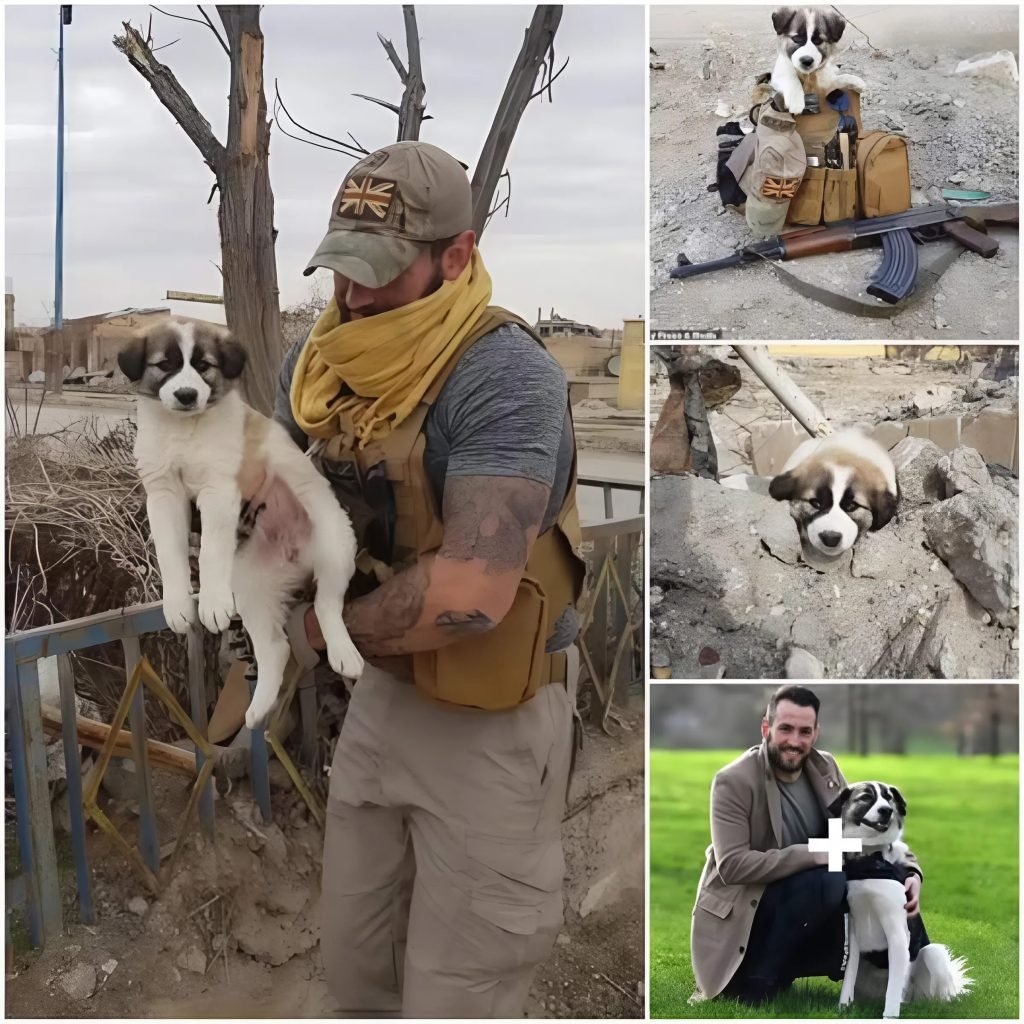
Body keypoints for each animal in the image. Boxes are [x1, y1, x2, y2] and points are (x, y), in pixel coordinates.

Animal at [118, 319, 366, 729]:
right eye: (165, 364)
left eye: (204, 365)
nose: (186, 395)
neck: (184, 430)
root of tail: (293, 554)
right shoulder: (163, 494)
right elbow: (169, 555)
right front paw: (177, 604)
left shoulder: (219, 489)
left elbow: (211, 551)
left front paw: (212, 603)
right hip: (252, 586)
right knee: (276, 647)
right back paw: (259, 707)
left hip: (336, 544)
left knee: (327, 606)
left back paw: (344, 654)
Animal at [827, 782, 970, 1015]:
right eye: (866, 797)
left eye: (889, 798)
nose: (887, 811)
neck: (868, 859)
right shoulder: (854, 929)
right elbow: (849, 973)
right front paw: (843, 1006)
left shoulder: (897, 932)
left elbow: (893, 986)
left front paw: (890, 1016)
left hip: (932, 954)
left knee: (928, 995)